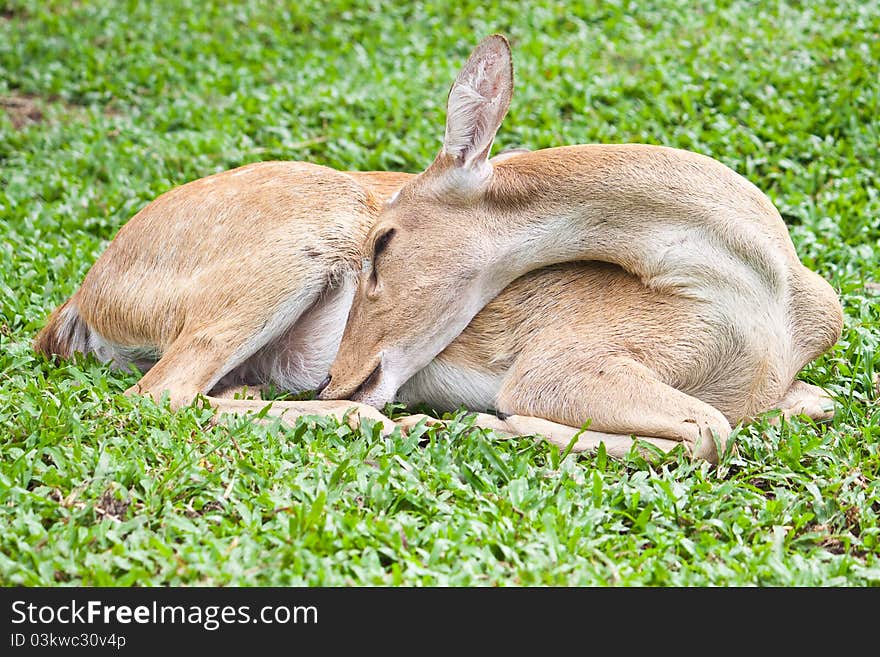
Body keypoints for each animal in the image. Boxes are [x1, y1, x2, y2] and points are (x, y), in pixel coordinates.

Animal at [34, 34, 844, 462]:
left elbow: (806, 407)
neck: (761, 296)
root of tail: (81, 303)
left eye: (385, 242)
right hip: (284, 251)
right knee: (155, 396)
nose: (340, 377)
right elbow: (710, 429)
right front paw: (501, 425)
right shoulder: (563, 362)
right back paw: (390, 420)